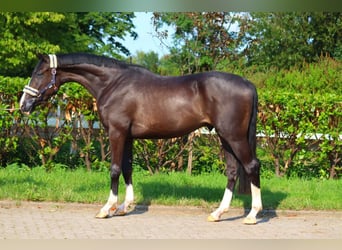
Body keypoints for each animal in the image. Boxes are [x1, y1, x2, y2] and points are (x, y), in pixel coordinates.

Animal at [19, 53, 262, 225]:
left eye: (39, 74)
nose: (23, 105)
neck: (112, 83)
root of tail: (248, 84)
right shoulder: (127, 136)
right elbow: (127, 168)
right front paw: (125, 206)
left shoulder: (116, 132)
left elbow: (115, 169)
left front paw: (107, 208)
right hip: (225, 138)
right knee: (232, 171)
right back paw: (218, 213)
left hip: (234, 136)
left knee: (251, 166)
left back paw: (252, 215)